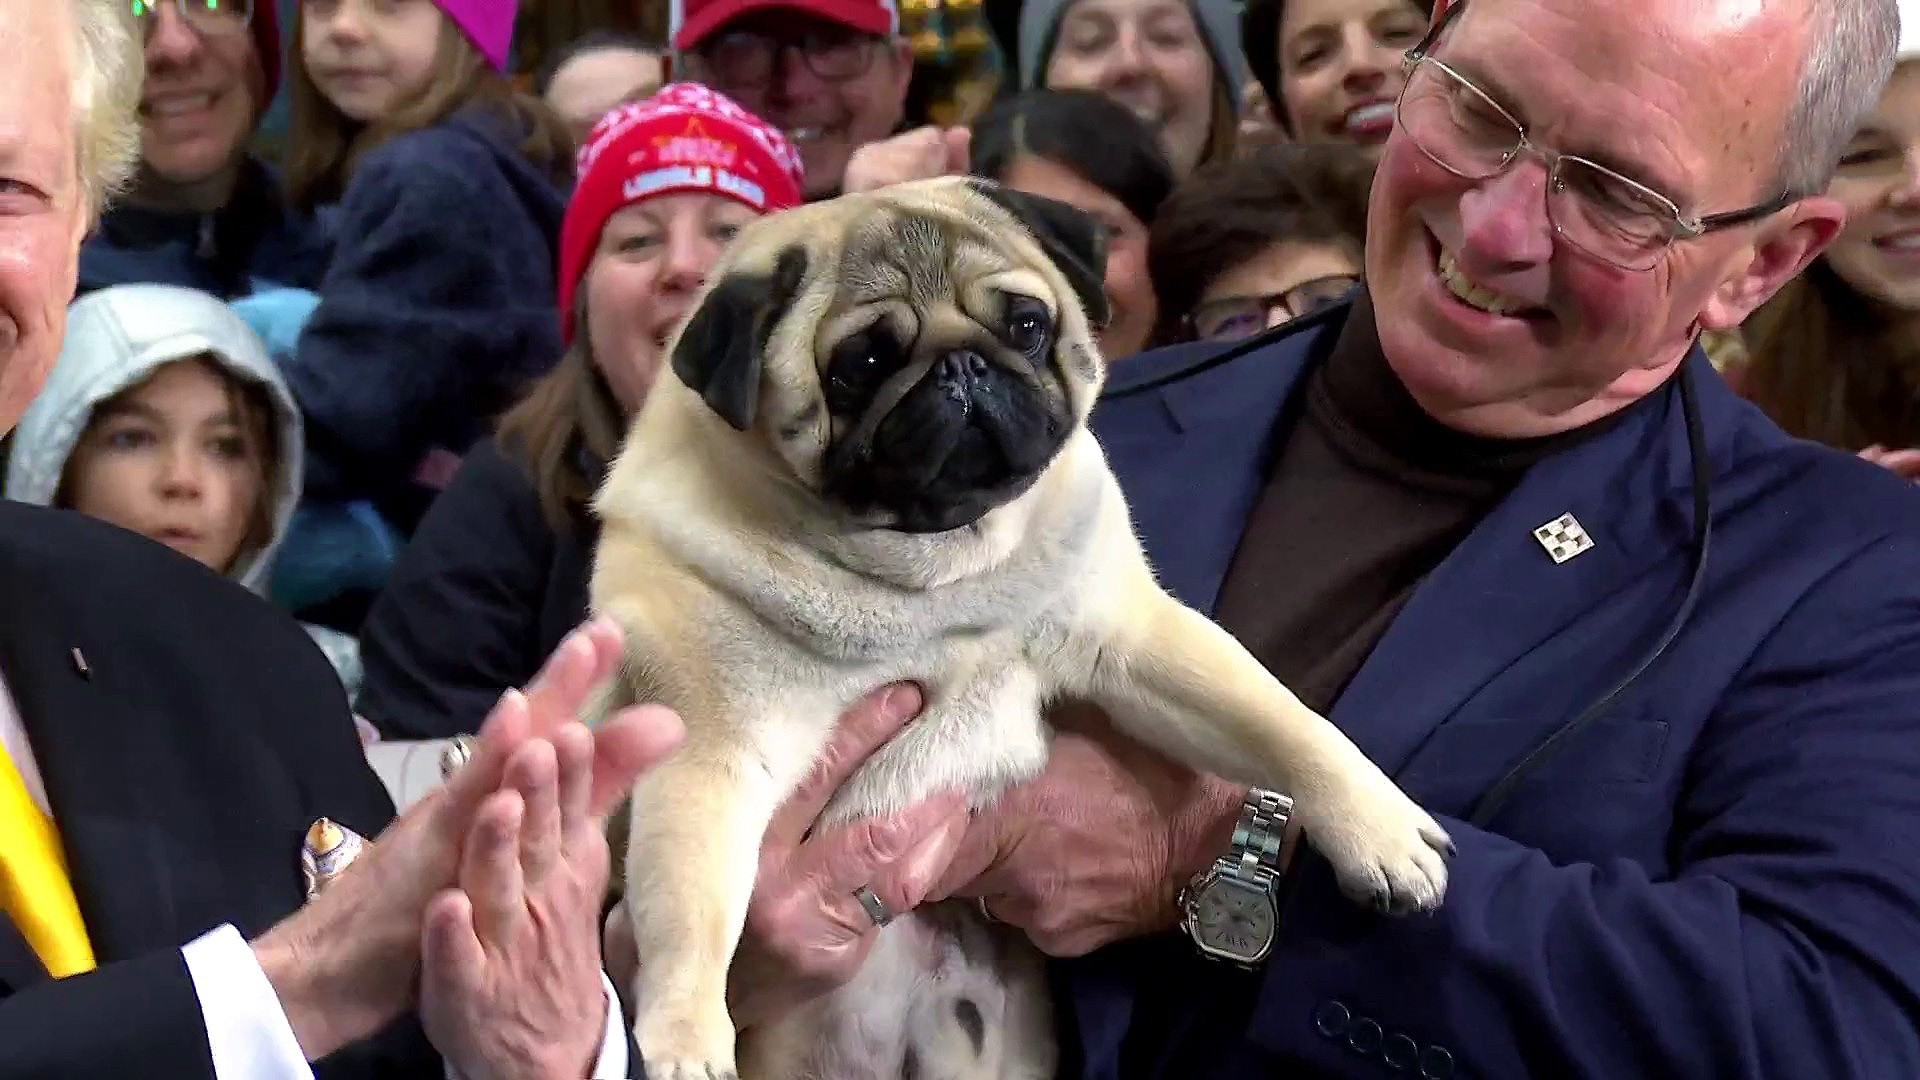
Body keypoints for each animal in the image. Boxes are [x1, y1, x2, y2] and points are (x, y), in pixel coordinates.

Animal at [591, 171, 1443, 1068]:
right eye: (862, 364)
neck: (933, 579)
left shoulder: (1135, 638)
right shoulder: (712, 753)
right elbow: (690, 911)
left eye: (1026, 326)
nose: (962, 366)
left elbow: (1285, 723)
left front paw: (1380, 831)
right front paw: (683, 1035)